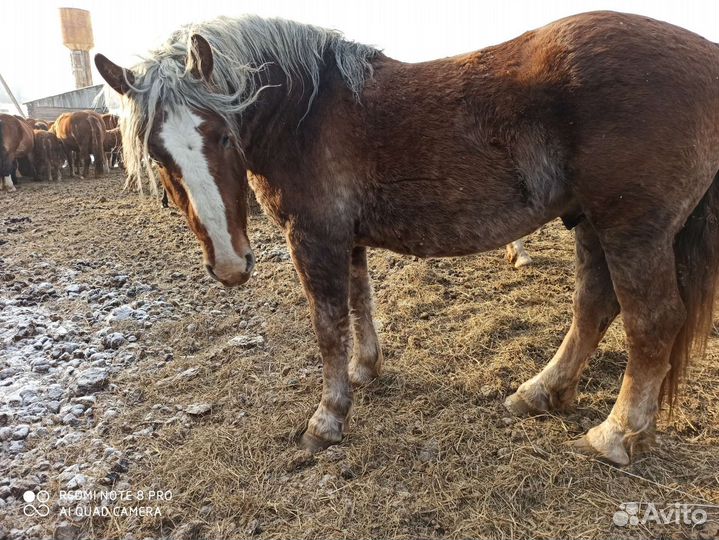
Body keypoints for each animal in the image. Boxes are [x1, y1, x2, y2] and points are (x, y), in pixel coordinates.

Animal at [95, 11, 719, 465]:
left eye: (223, 135)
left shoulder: (314, 238)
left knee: (651, 321)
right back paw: (541, 393)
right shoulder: (346, 238)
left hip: (631, 229)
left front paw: (327, 419)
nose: (229, 264)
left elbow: (328, 326)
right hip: (590, 222)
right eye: (157, 153)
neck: (306, 112)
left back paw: (617, 434)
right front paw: (365, 371)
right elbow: (359, 301)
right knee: (594, 306)